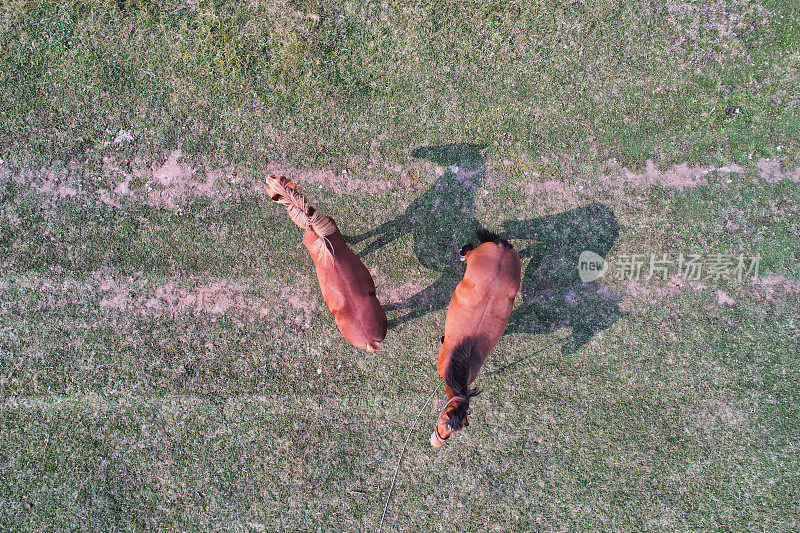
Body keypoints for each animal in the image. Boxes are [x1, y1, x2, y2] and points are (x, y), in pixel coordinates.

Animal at [428, 231, 520, 446]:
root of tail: (501, 249)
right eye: (443, 422)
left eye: (452, 432)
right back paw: (463, 253)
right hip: (476, 256)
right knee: (469, 250)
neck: (461, 357)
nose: (435, 443)